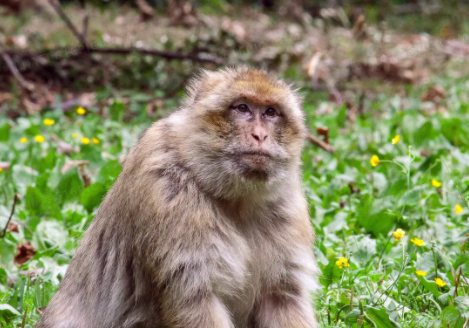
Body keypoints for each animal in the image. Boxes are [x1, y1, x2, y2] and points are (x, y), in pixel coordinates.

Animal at [38, 67, 320, 328]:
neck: (235, 199)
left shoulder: (286, 203)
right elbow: (194, 298)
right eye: (242, 108)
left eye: (271, 112)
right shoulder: (167, 190)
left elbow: (282, 298)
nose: (260, 135)